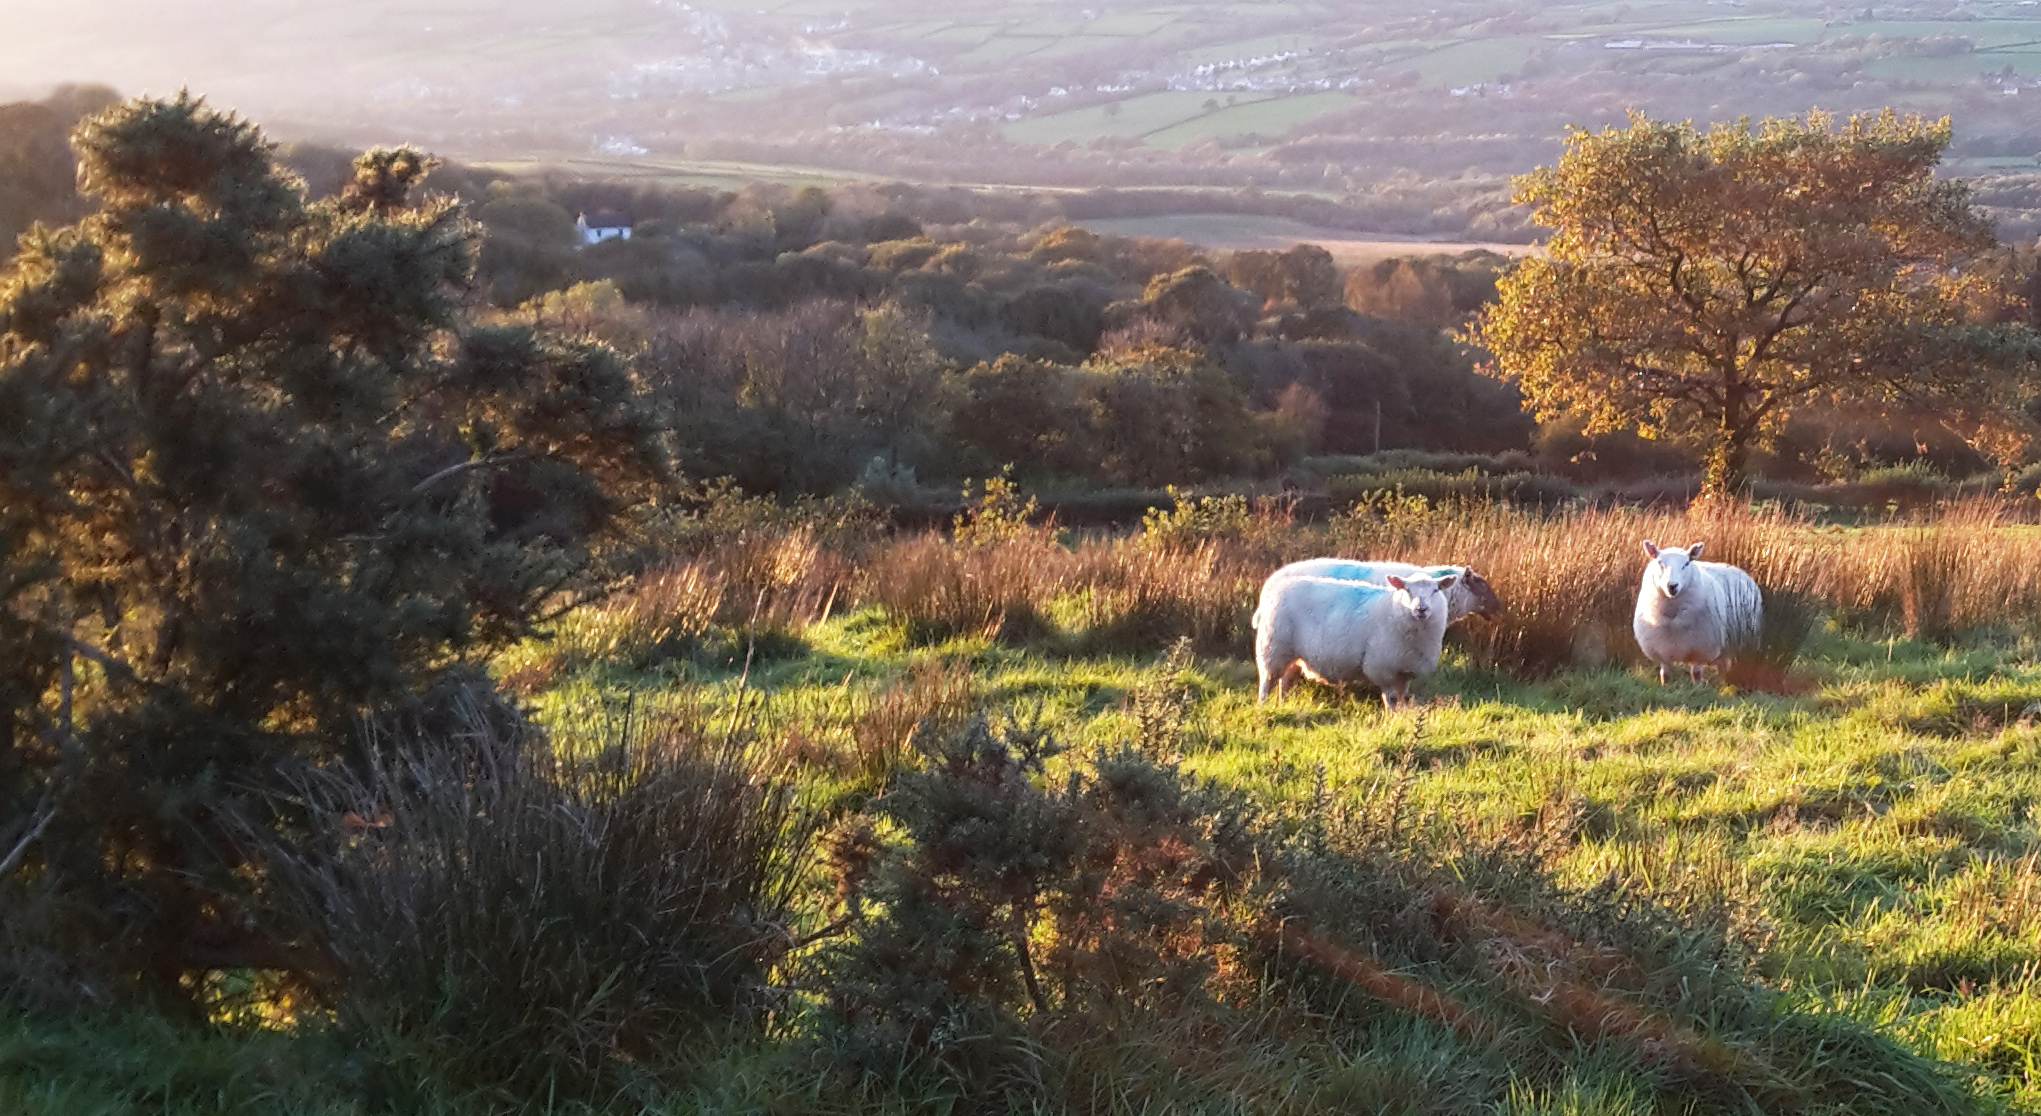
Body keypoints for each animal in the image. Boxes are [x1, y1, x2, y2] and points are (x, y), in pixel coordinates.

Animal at [1249, 575, 1461, 705]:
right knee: (1267, 681)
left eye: (1435, 590)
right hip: (1273, 648)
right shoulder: (1383, 669)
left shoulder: (1404, 671)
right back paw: (1263, 705)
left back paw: (1282, 703)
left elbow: (1402, 698)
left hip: (1292, 655)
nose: (1421, 609)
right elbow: (1391, 698)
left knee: (1284, 681)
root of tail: (1273, 591)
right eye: (1407, 590)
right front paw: (1392, 720)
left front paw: (1402, 717)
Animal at [1632, 538, 1763, 685]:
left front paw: (1697, 688)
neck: (1673, 615)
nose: (1672, 586)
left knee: (1724, 668)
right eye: (1660, 563)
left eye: (1686, 563)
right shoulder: (1662, 650)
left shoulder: (1700, 650)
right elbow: (1665, 675)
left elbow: (1696, 674)